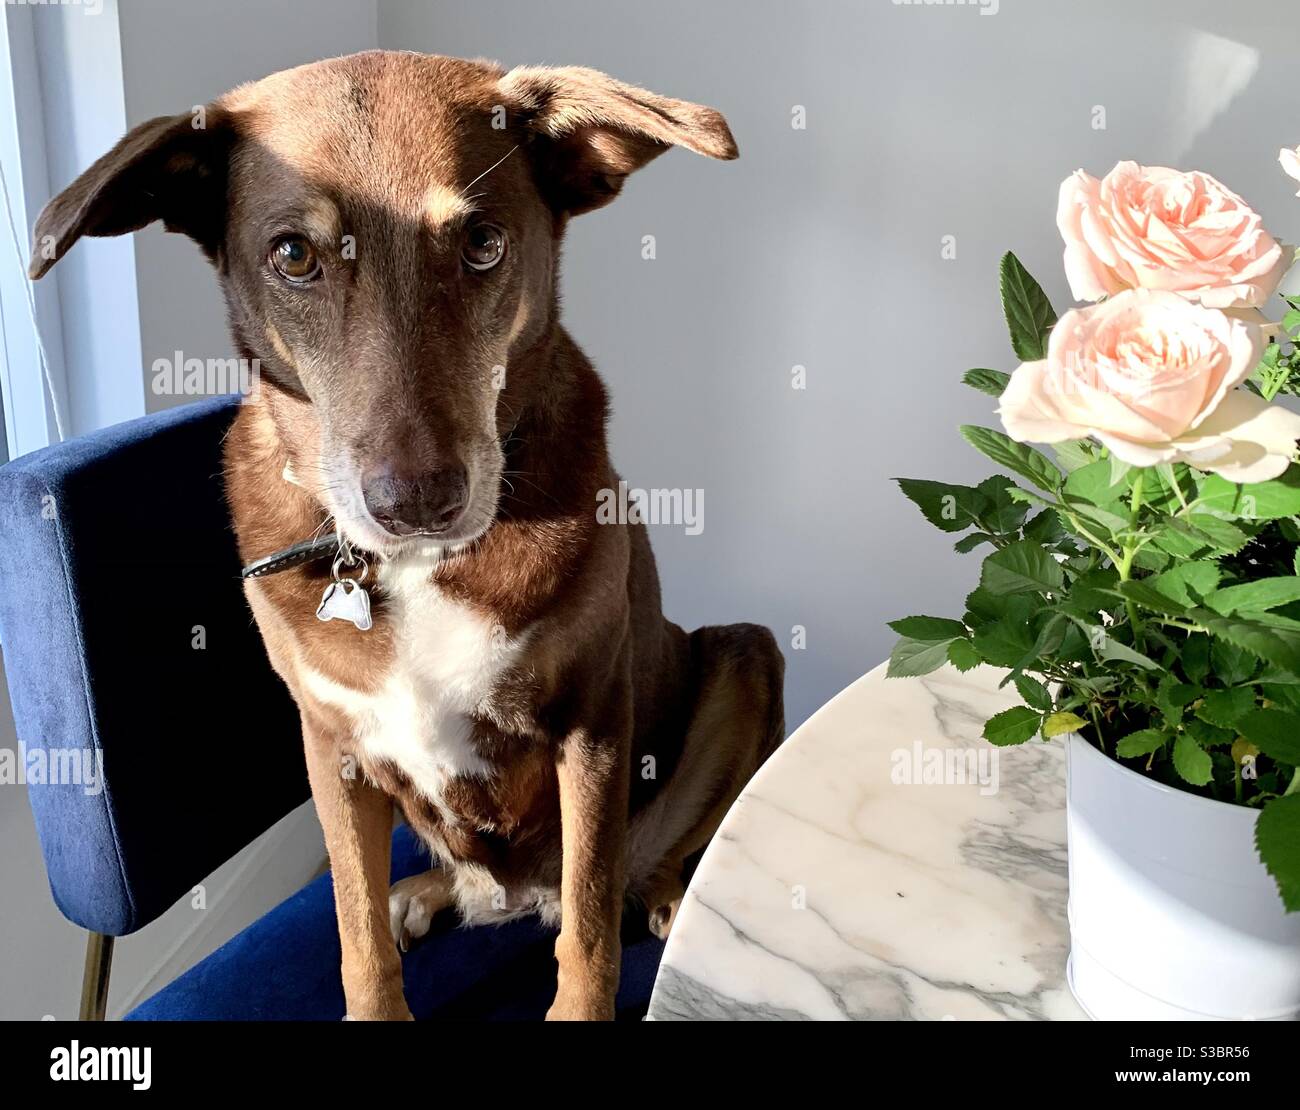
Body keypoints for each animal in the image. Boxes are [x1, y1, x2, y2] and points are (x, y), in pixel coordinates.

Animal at [30, 51, 780, 1024]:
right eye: (293, 255)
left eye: (483, 243)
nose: (417, 502)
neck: (413, 568)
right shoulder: (331, 748)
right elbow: (355, 936)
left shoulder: (592, 724)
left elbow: (587, 932)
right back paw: (421, 895)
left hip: (742, 656)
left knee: (636, 867)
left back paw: (665, 894)